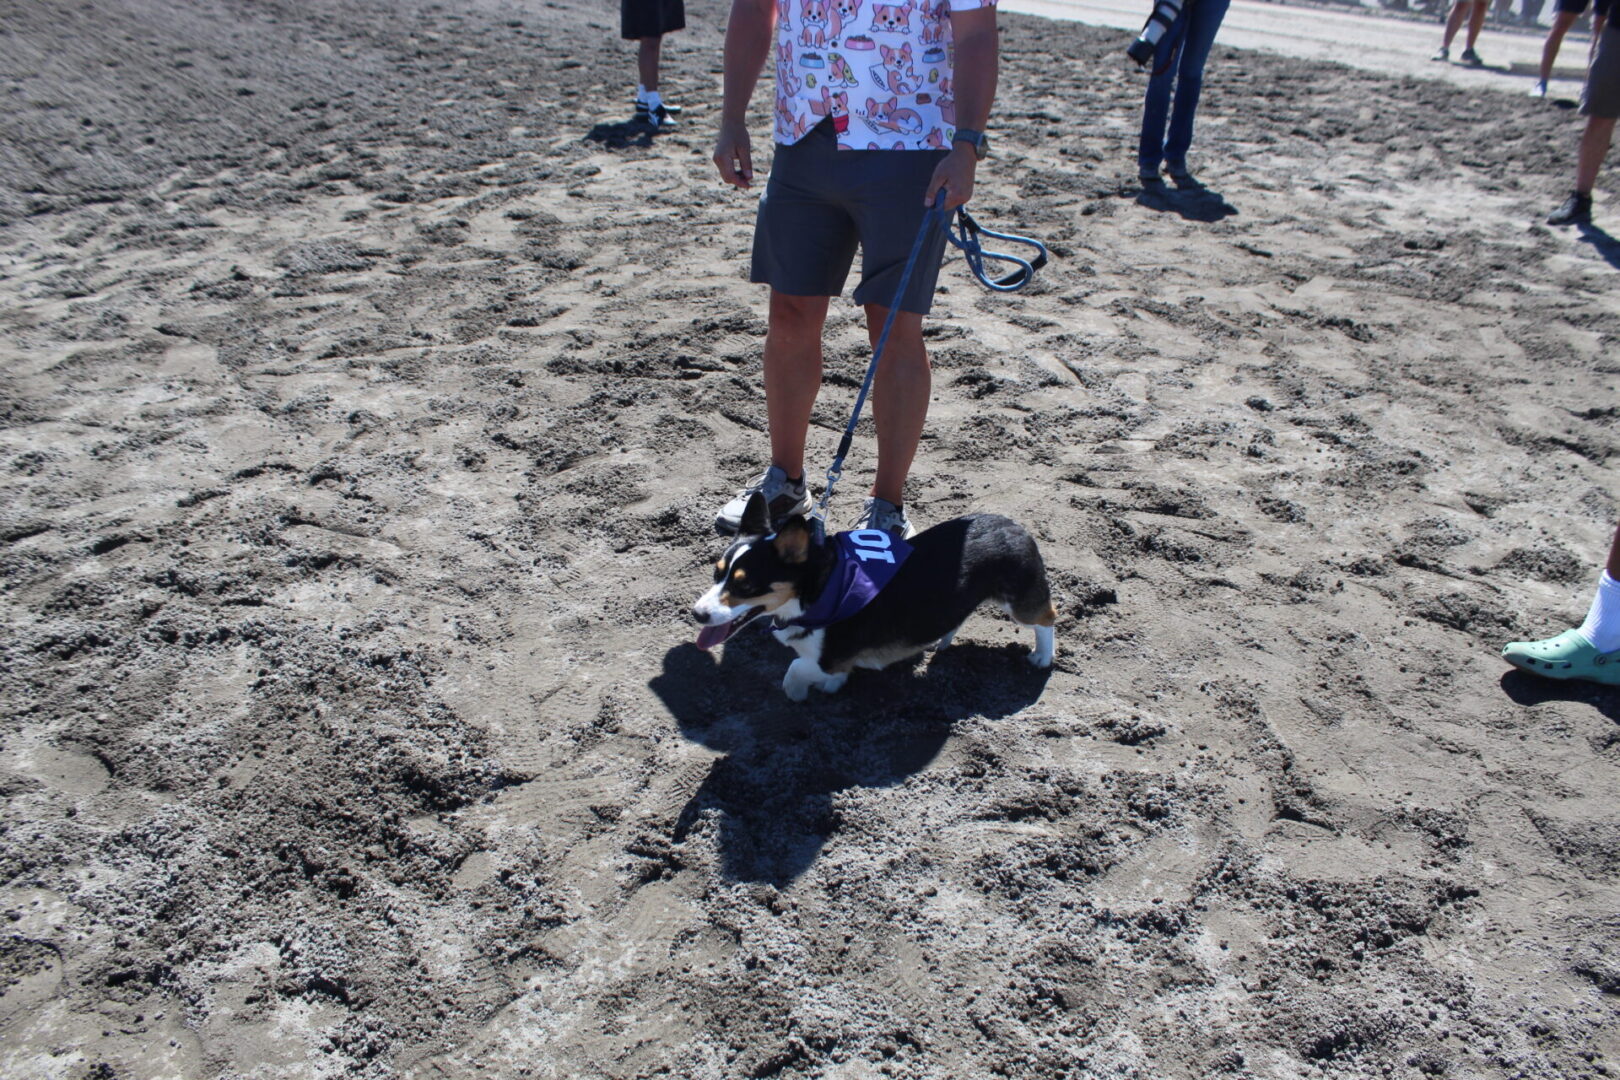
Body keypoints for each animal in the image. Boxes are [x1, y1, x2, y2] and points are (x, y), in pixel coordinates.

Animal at [692, 492, 1056, 701]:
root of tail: (1014, 525)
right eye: (717, 573)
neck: (820, 591)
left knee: (1046, 618)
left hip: (1020, 602)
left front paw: (801, 693)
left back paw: (1042, 657)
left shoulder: (828, 657)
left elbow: (795, 669)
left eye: (745, 586)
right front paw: (832, 686)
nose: (697, 614)